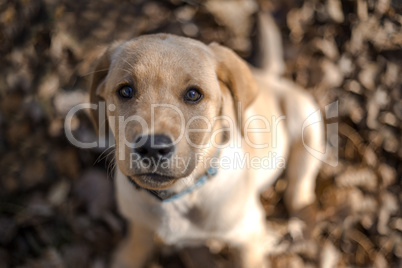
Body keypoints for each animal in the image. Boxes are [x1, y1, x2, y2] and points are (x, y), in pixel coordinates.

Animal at [88, 14, 324, 268]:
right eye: (125, 91)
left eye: (193, 94)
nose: (152, 148)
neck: (177, 197)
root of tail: (269, 79)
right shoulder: (139, 224)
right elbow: (135, 247)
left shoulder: (249, 236)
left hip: (307, 121)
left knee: (299, 186)